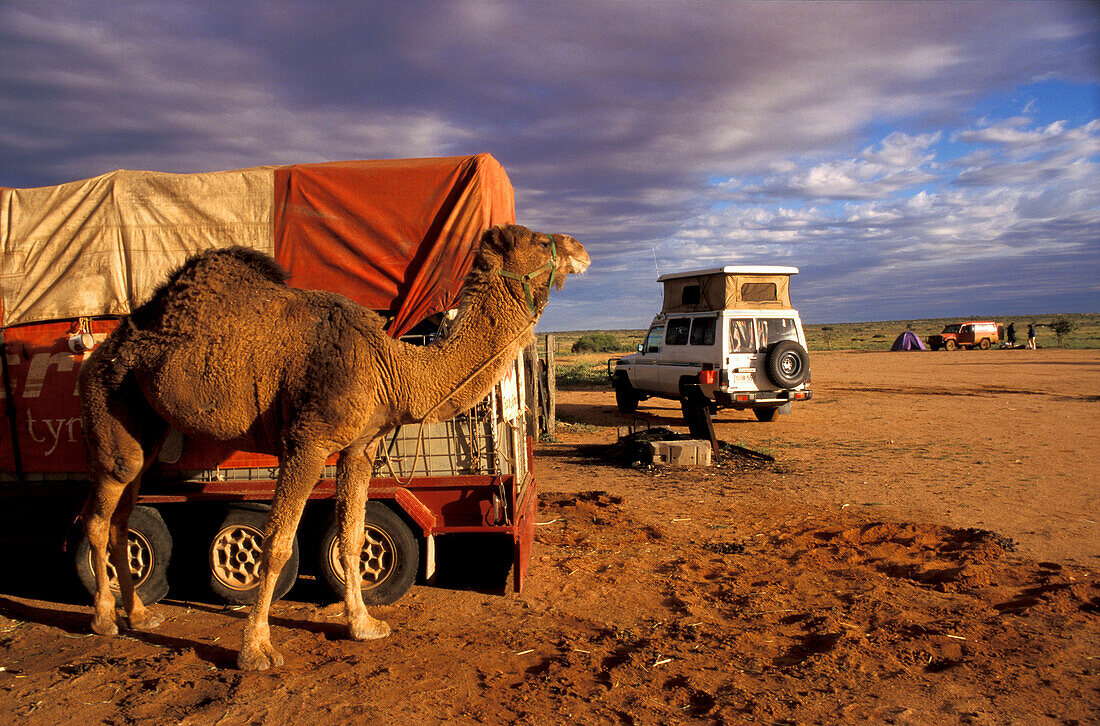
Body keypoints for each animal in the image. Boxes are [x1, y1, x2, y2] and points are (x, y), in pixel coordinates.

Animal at [78, 222, 589, 668]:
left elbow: (352, 537)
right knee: (100, 515)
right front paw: (256, 650)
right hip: (108, 399)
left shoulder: (360, 448)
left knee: (123, 512)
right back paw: (104, 619)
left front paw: (364, 625)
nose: (580, 248)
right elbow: (276, 544)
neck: (393, 368)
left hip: (147, 426)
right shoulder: (307, 441)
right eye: (539, 240)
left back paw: (140, 614)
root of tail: (100, 349)